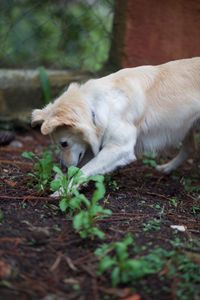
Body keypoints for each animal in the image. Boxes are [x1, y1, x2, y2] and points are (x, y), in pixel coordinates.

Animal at [31, 57, 200, 177]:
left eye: (64, 144)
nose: (64, 167)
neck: (95, 107)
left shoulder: (120, 148)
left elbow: (83, 171)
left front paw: (62, 191)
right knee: (190, 148)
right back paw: (167, 168)